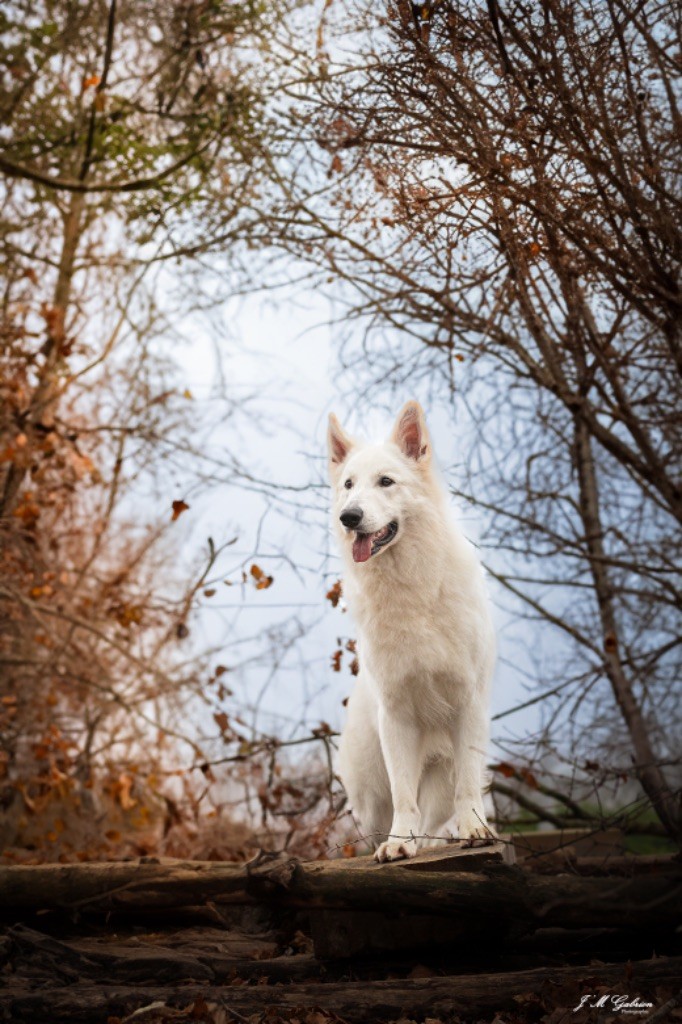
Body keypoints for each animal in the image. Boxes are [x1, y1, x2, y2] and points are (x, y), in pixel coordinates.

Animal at [327, 403, 493, 860]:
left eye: (386, 481)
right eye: (348, 485)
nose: (349, 517)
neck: (413, 590)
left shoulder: (469, 703)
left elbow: (469, 784)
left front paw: (476, 829)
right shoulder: (397, 714)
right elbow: (404, 795)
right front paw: (399, 843)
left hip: (440, 775)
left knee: (438, 814)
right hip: (369, 792)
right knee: (389, 814)